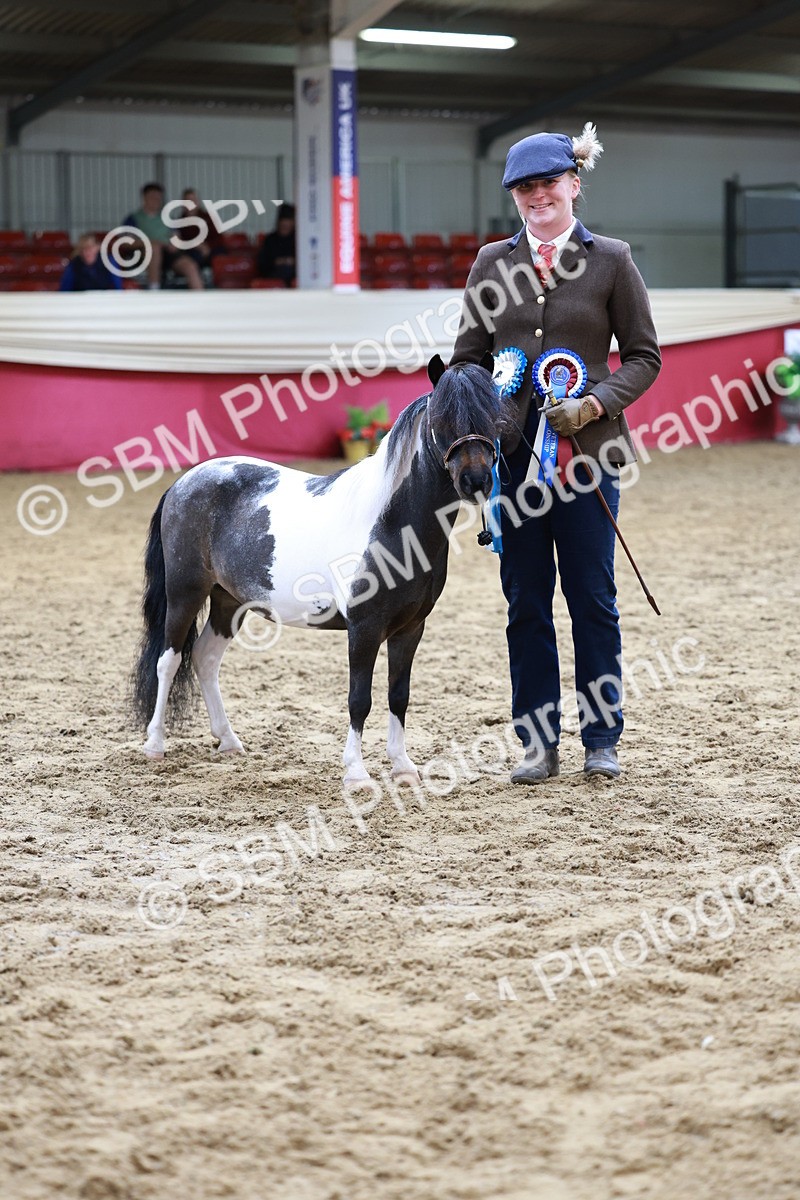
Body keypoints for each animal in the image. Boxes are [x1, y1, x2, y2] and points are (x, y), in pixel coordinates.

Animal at [130, 352, 506, 786]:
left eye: (494, 415)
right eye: (441, 418)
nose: (476, 480)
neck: (392, 523)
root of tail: (184, 482)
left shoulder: (410, 628)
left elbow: (399, 695)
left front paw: (403, 767)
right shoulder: (364, 628)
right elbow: (360, 699)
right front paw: (356, 772)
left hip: (229, 602)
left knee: (205, 659)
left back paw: (229, 741)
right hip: (185, 593)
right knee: (169, 660)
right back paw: (155, 744)